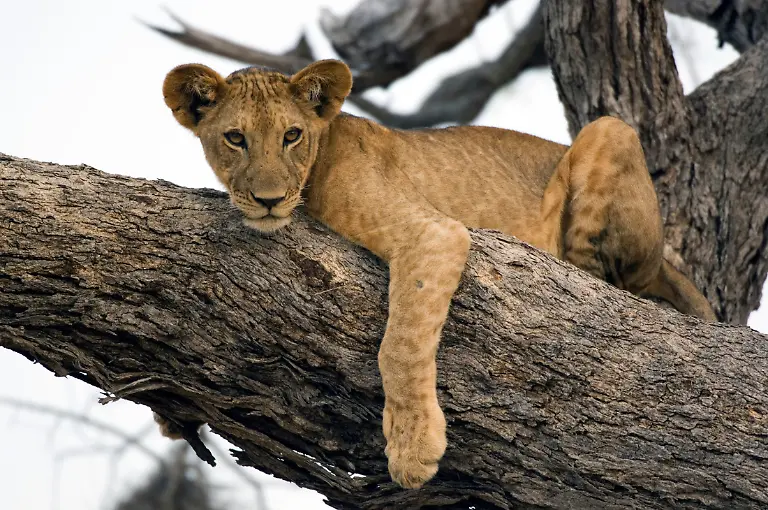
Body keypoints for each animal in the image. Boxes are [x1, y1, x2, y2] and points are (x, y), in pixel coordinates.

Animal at [160, 59, 716, 489]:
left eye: (291, 136)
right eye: (235, 138)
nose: (269, 200)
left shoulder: (433, 232)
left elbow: (399, 346)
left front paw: (412, 448)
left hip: (610, 132)